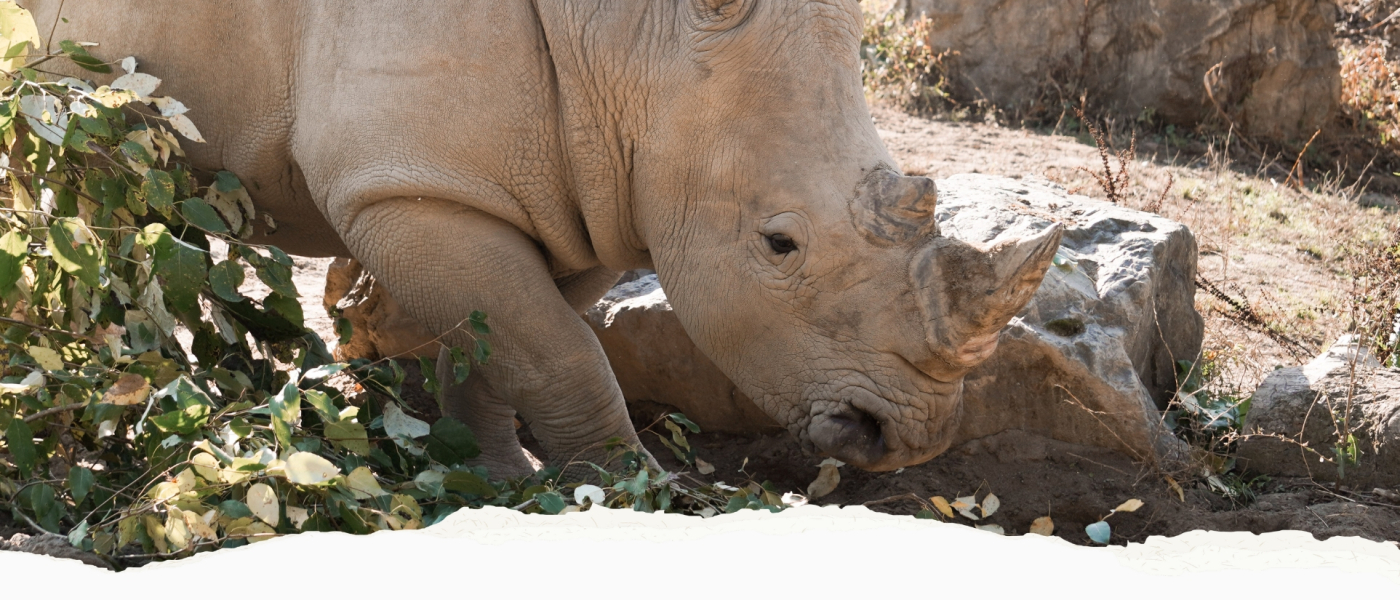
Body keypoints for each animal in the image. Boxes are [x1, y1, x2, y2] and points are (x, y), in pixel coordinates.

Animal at [27, 0, 1061, 476]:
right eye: (779, 245)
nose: (906, 438)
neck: (635, 41)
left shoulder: (593, 184)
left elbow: (506, 345)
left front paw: (493, 475)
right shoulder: (414, 186)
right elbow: (560, 352)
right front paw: (636, 491)